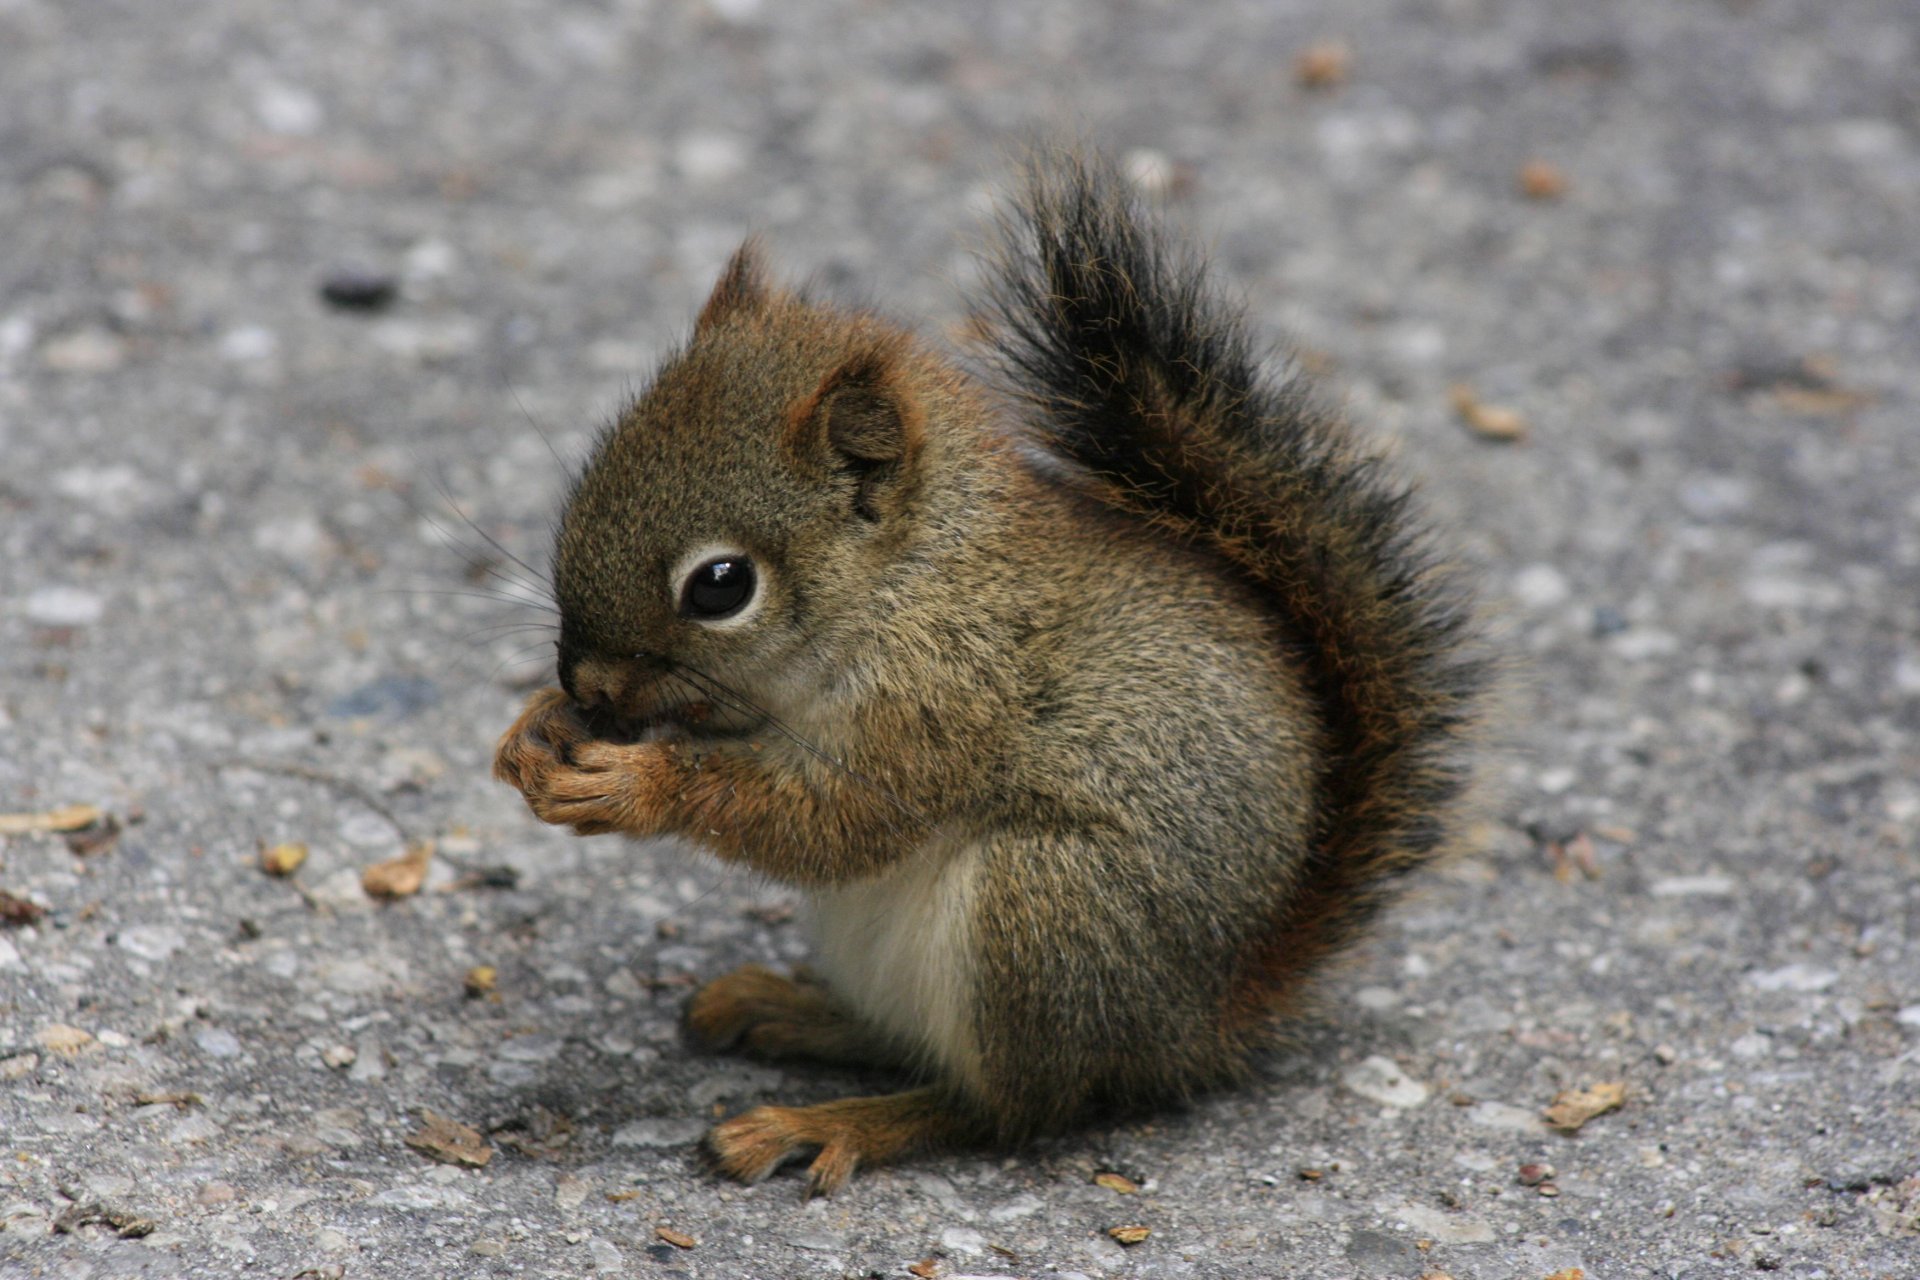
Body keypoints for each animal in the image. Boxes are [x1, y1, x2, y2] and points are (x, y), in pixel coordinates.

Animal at [492, 154, 1486, 1195]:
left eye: (721, 585)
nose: (588, 685)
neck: (909, 582)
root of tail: (1196, 1025)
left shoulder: (943, 700)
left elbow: (836, 820)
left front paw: (633, 784)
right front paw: (534, 731)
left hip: (1044, 913)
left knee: (1006, 1108)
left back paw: (832, 1121)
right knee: (910, 1043)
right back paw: (790, 1010)